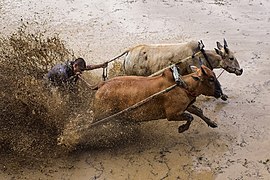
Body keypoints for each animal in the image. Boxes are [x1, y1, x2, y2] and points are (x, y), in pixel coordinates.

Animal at [94, 64, 223, 132]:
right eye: (211, 79)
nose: (220, 92)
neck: (182, 85)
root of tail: (101, 85)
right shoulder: (172, 114)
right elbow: (190, 117)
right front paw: (182, 128)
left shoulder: (186, 106)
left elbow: (198, 112)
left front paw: (212, 123)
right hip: (102, 114)